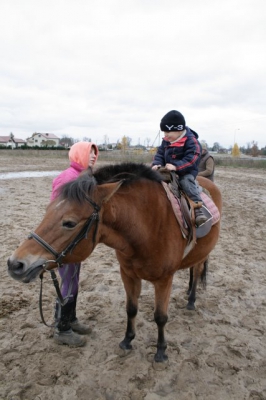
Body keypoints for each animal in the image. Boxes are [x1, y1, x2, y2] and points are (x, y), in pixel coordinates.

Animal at [7, 162, 221, 362]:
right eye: (48, 210)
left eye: (69, 223)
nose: (14, 264)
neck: (148, 226)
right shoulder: (128, 274)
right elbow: (131, 309)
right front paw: (127, 340)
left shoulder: (164, 280)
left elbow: (160, 317)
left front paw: (161, 351)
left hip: (203, 255)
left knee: (197, 270)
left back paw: (191, 300)